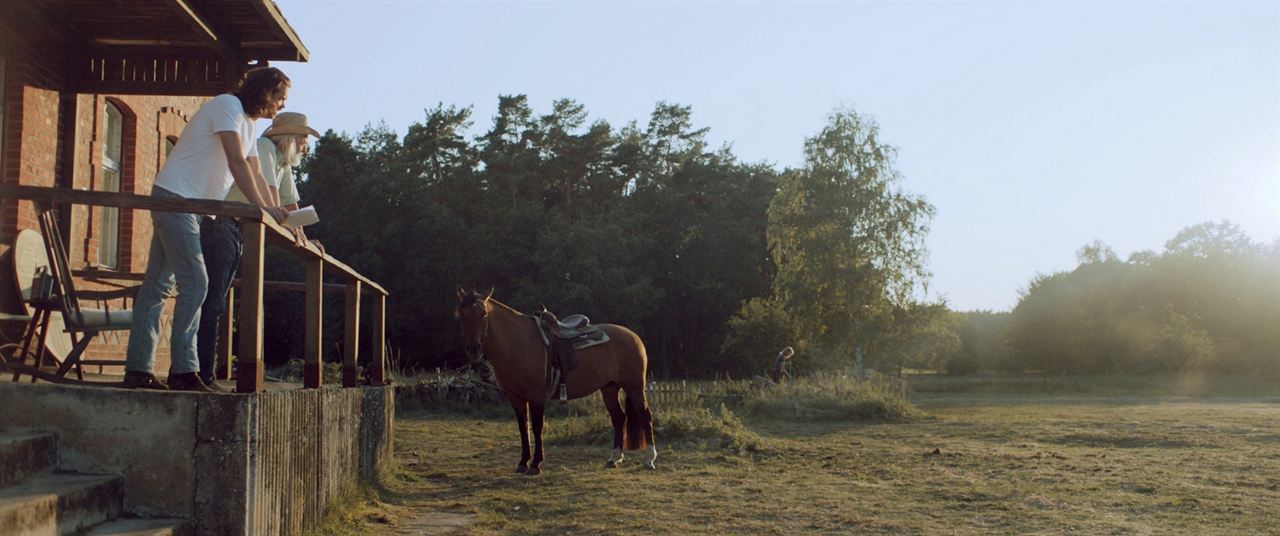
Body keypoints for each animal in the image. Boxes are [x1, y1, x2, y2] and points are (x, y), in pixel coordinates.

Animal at [455, 287, 655, 475]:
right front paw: (523, 463)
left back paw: (649, 460)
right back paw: (614, 458)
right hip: (609, 388)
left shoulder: (536, 396)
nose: (473, 348)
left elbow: (537, 427)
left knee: (645, 415)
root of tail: (634, 337)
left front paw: (535, 465)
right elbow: (523, 427)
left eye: (483, 314)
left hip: (634, 387)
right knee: (618, 418)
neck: (519, 343)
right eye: (461, 314)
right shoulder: (515, 396)